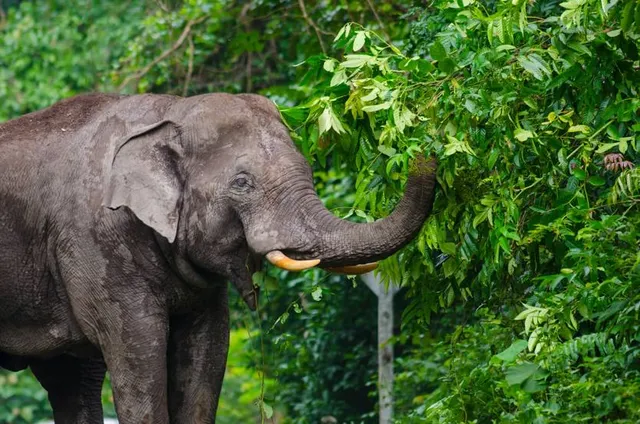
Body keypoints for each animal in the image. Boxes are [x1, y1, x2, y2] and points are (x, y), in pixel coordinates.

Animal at [0, 92, 437, 423]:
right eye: (242, 183)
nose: (425, 135)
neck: (169, 114)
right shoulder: (99, 244)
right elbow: (137, 348)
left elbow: (208, 347)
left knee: (71, 380)